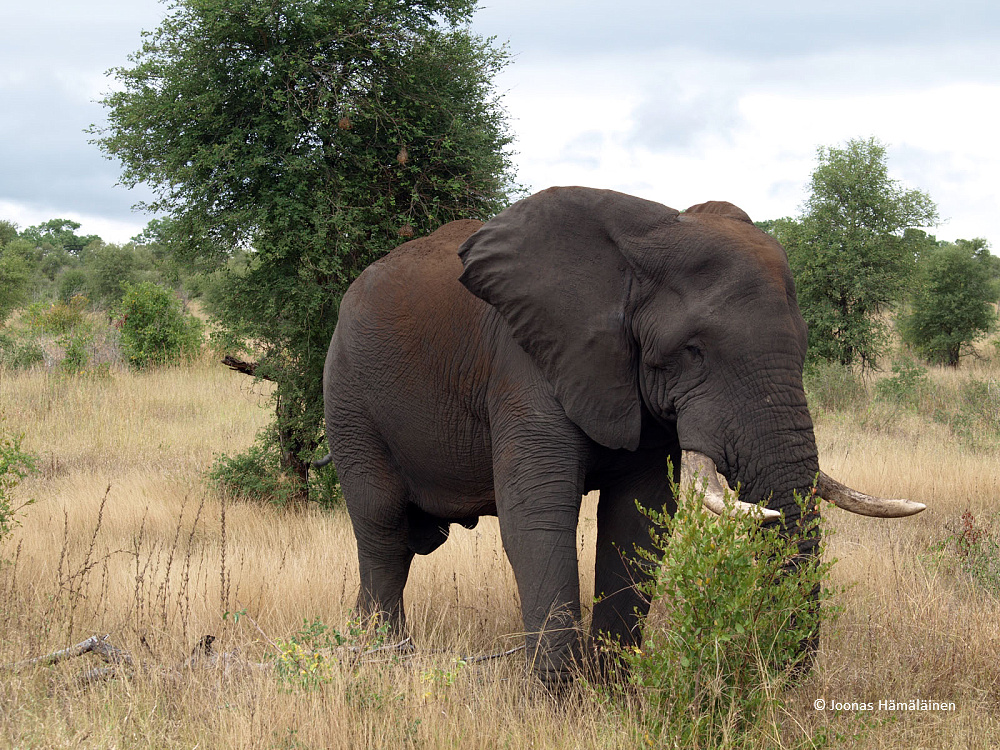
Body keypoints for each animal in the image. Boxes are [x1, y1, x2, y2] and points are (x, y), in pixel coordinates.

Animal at [320, 185, 920, 684]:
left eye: (804, 345)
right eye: (692, 351)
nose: (771, 673)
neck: (641, 247)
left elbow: (636, 521)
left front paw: (610, 693)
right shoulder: (525, 363)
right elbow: (537, 517)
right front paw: (556, 702)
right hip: (347, 394)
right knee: (381, 525)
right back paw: (381, 657)